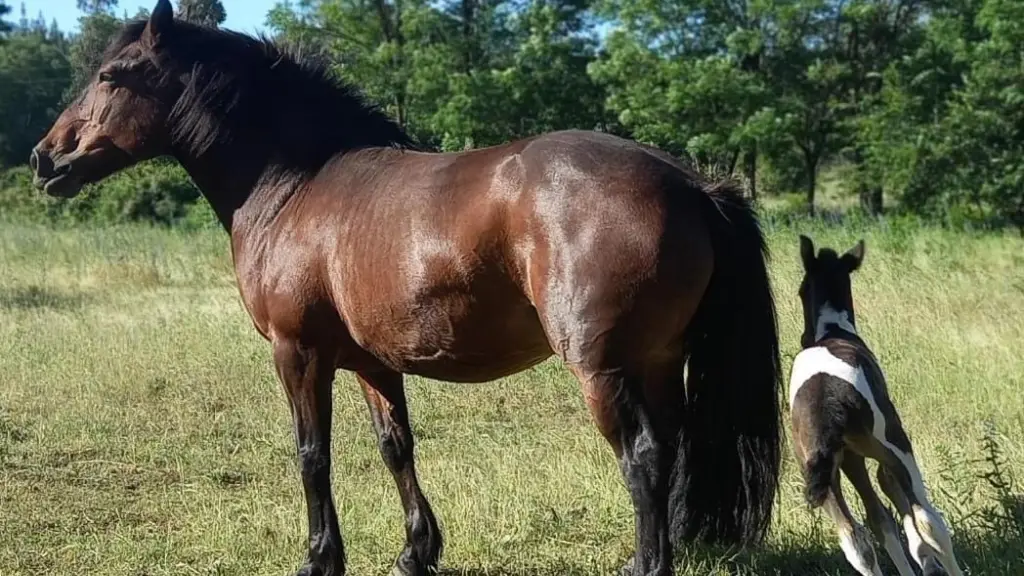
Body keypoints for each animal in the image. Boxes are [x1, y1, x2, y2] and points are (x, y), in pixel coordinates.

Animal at [29, 2, 782, 569]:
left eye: (112, 75)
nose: (44, 158)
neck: (297, 184)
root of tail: (690, 184)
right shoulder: (370, 361)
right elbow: (396, 448)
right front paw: (416, 552)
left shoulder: (297, 353)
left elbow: (312, 455)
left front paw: (320, 558)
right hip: (659, 361)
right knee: (675, 450)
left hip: (603, 369)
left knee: (645, 458)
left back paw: (645, 563)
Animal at [786, 234, 962, 573]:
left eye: (801, 290)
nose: (803, 337)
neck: (835, 330)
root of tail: (826, 400)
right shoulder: (885, 451)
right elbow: (899, 506)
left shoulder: (851, 459)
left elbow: (880, 520)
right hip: (895, 443)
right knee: (929, 519)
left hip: (819, 468)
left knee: (854, 540)